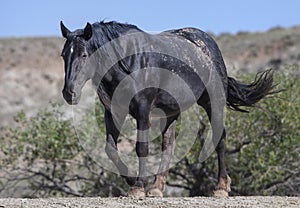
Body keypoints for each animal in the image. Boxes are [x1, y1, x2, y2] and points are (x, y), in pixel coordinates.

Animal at [59, 20, 274, 197]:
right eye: (64, 55)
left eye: (84, 54)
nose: (69, 93)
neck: (130, 62)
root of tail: (209, 45)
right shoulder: (114, 113)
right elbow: (111, 148)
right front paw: (132, 179)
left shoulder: (142, 111)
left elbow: (141, 148)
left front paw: (138, 187)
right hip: (171, 112)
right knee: (168, 145)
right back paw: (157, 188)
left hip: (213, 102)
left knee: (219, 138)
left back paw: (221, 188)